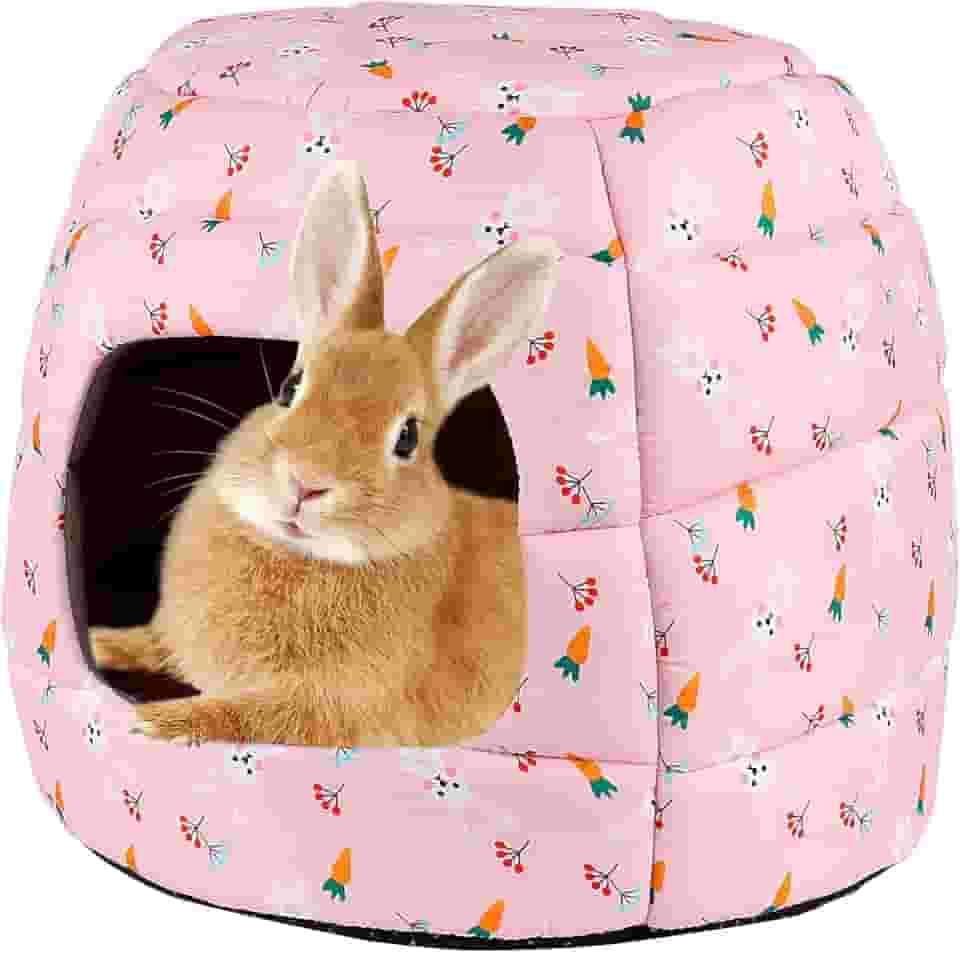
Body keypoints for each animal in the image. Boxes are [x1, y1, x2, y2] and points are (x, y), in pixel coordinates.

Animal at [89, 161, 561, 746]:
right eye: (290, 387)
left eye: (407, 438)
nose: (305, 483)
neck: (297, 553)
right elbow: (146, 644)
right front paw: (96, 641)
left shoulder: (340, 710)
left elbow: (252, 715)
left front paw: (154, 720)